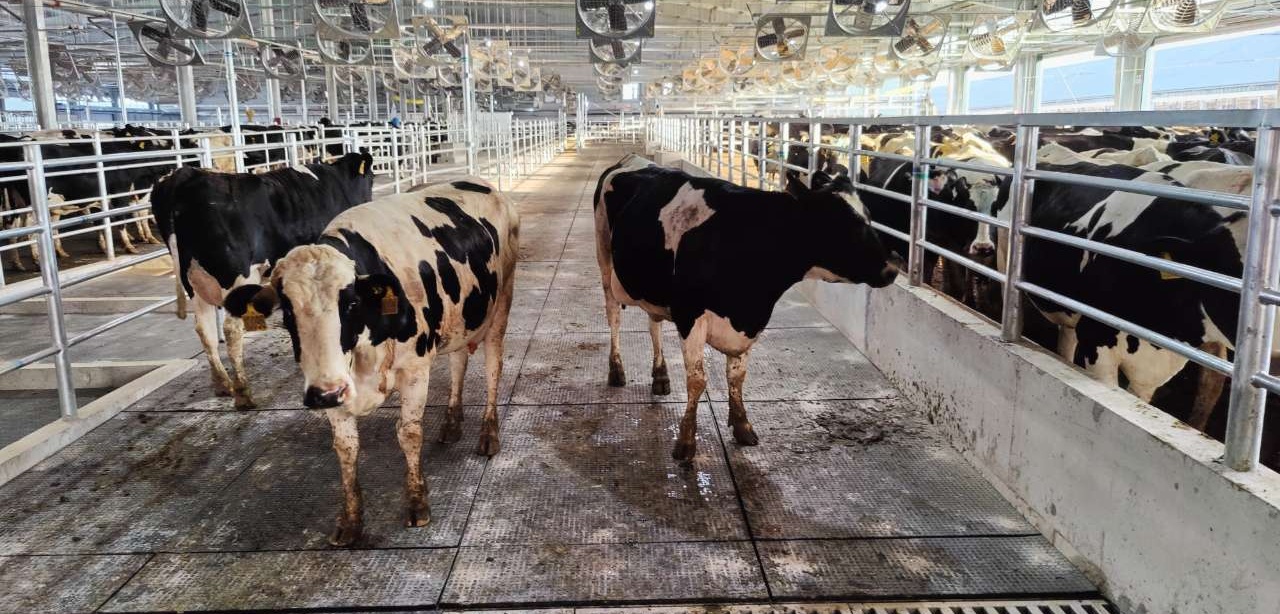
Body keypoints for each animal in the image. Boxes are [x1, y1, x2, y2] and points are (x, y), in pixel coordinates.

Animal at [150, 152, 375, 409]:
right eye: (371, 178)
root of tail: (185, 175)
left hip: (196, 281)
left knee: (204, 330)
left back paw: (222, 384)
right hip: (237, 276)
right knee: (231, 329)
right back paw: (243, 393)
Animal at [237, 178, 518, 546]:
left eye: (350, 303)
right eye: (286, 312)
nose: (323, 395)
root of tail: (484, 184)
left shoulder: (414, 370)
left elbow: (409, 433)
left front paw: (417, 504)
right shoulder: (335, 383)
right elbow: (346, 447)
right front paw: (351, 521)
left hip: (499, 309)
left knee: (492, 368)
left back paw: (488, 434)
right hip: (460, 320)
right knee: (458, 363)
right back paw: (451, 423)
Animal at [594, 154, 899, 461]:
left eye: (868, 216)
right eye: (839, 223)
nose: (892, 268)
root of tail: (630, 159)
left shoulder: (748, 321)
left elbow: (737, 376)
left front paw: (742, 426)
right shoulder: (690, 313)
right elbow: (697, 380)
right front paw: (685, 442)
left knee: (653, 323)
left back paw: (660, 375)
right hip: (604, 258)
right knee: (613, 316)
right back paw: (616, 370)